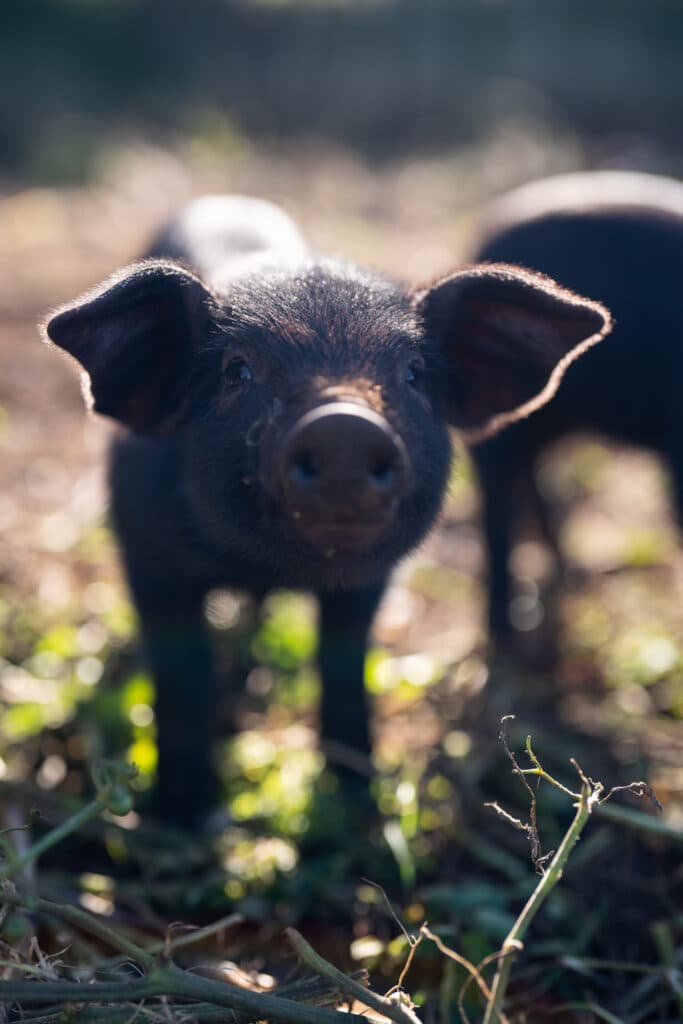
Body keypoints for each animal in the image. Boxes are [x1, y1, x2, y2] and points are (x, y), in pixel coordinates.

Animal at [43, 194, 611, 829]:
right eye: (238, 371)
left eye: (412, 373)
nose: (344, 426)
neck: (266, 568)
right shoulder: (147, 554)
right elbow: (184, 680)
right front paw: (181, 818)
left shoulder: (369, 582)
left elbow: (342, 667)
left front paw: (359, 800)